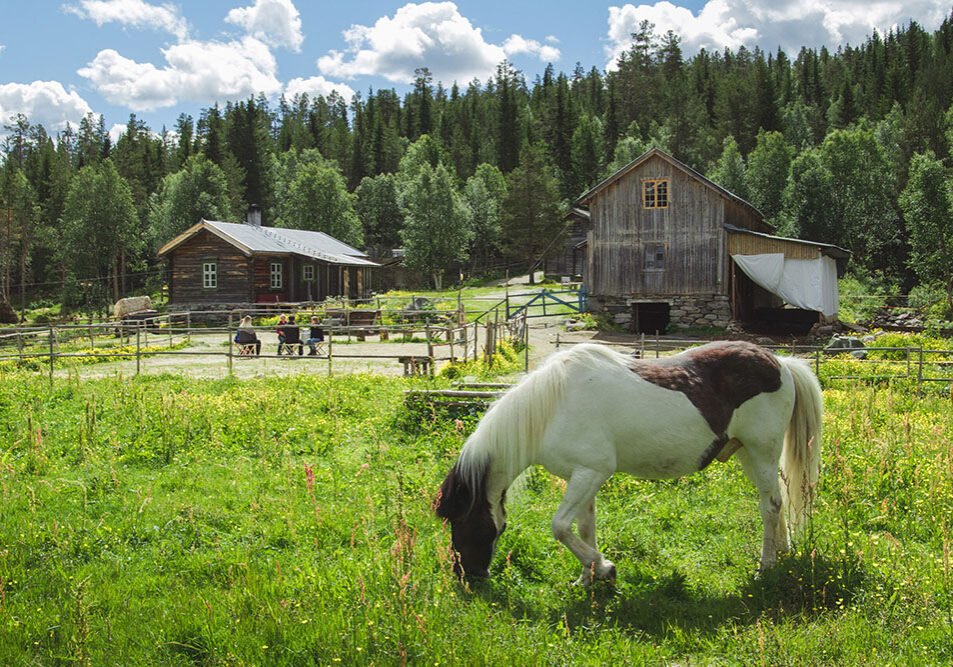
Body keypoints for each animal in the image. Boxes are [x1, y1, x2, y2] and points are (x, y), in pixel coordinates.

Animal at [435, 340, 823, 585]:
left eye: (459, 520)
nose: (468, 575)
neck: (551, 408)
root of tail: (780, 362)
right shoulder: (582, 476)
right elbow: (583, 528)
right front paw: (587, 578)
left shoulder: (591, 473)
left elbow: (560, 527)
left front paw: (604, 568)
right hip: (746, 452)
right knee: (774, 500)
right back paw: (782, 554)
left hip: (761, 449)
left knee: (770, 506)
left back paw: (765, 567)